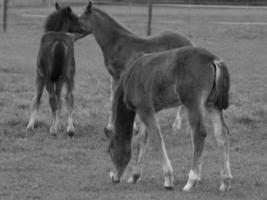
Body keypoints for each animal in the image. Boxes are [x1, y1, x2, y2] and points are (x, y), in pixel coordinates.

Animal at [26, 2, 86, 136]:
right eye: (75, 17)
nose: (83, 28)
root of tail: (59, 41)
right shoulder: (60, 79)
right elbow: (59, 100)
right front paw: (58, 126)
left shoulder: (39, 77)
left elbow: (36, 99)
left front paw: (30, 126)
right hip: (69, 76)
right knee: (69, 97)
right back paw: (70, 129)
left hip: (47, 77)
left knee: (52, 99)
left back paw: (52, 131)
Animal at [78, 0, 195, 136]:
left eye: (80, 18)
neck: (117, 44)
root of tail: (189, 42)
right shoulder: (114, 76)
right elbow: (113, 98)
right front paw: (110, 127)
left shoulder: (124, 75)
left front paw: (132, 128)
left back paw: (178, 126)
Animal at [108, 45, 233, 192]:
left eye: (110, 150)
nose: (113, 178)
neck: (130, 77)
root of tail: (212, 59)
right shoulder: (148, 110)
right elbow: (142, 139)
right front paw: (134, 176)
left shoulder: (144, 108)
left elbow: (157, 137)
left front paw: (168, 179)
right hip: (212, 104)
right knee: (222, 134)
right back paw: (225, 181)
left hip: (192, 102)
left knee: (199, 133)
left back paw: (191, 181)